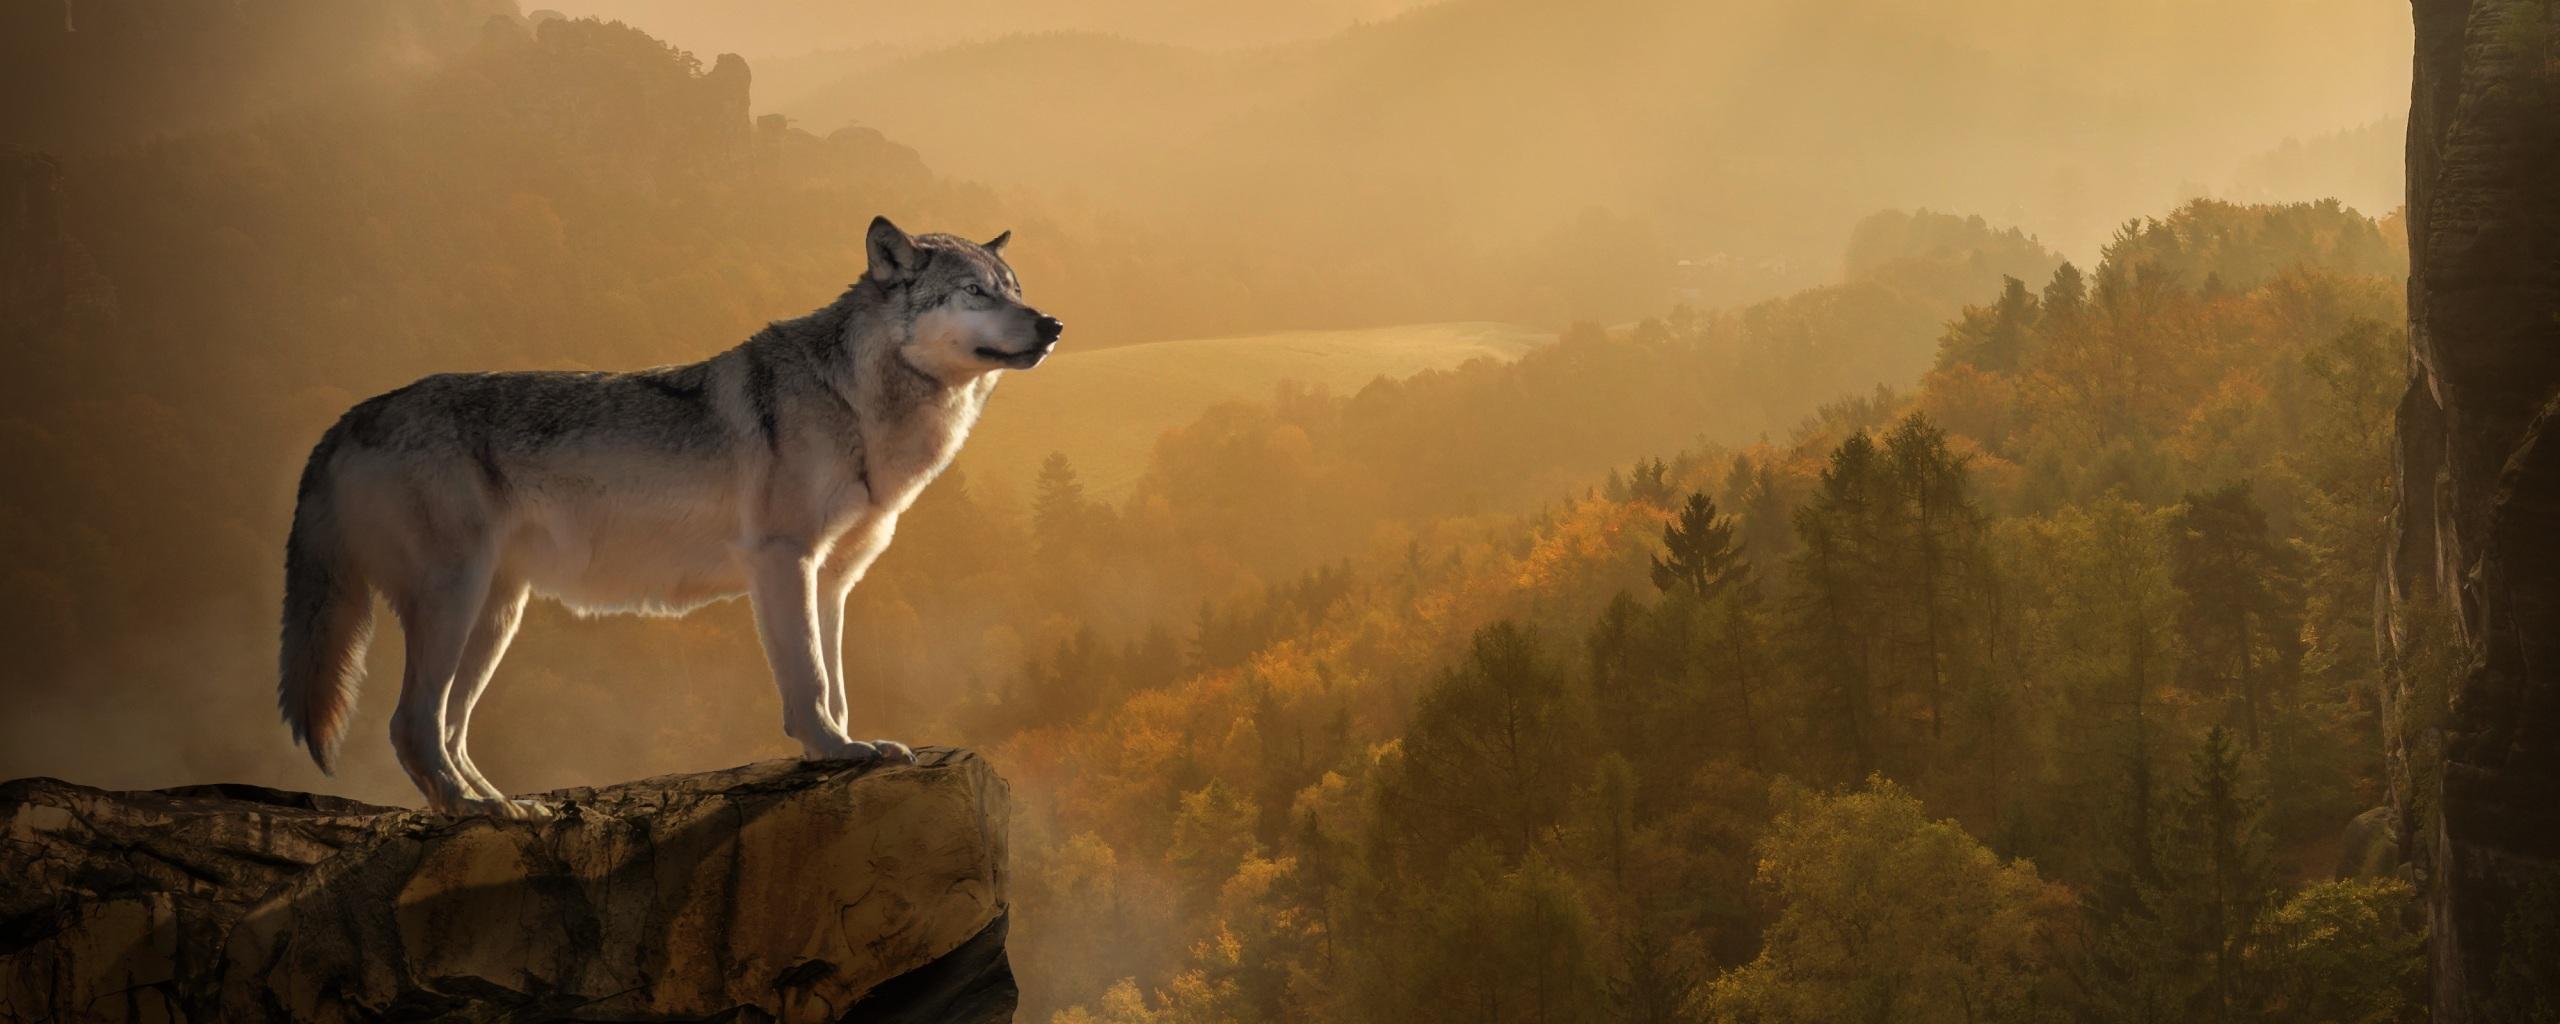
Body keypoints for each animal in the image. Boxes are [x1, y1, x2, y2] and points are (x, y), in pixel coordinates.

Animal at [276, 217, 1060, 817]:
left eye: (1016, 289)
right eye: (975, 292)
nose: (1053, 324)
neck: (857, 401)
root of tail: (347, 419)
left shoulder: (833, 581)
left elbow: (835, 683)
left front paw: (849, 746)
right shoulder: (783, 561)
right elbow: (808, 682)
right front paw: (833, 750)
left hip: (496, 616)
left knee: (451, 728)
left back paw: (504, 806)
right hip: (455, 601)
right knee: (412, 725)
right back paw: (472, 811)